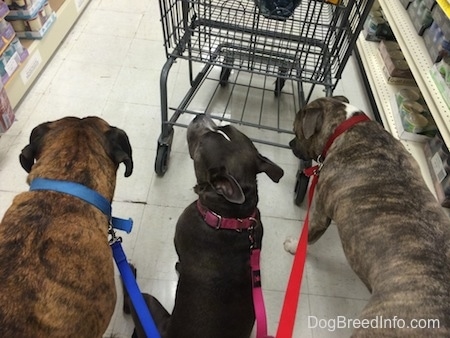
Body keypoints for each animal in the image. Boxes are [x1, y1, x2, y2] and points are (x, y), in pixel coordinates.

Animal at [126, 114, 284, 338]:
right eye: (224, 126)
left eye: (202, 143)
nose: (200, 116)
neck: (230, 216)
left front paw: (179, 267)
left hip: (146, 303)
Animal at [286, 96, 450, 336]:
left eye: (296, 130)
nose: (290, 144)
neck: (345, 126)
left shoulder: (320, 212)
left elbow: (307, 236)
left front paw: (293, 245)